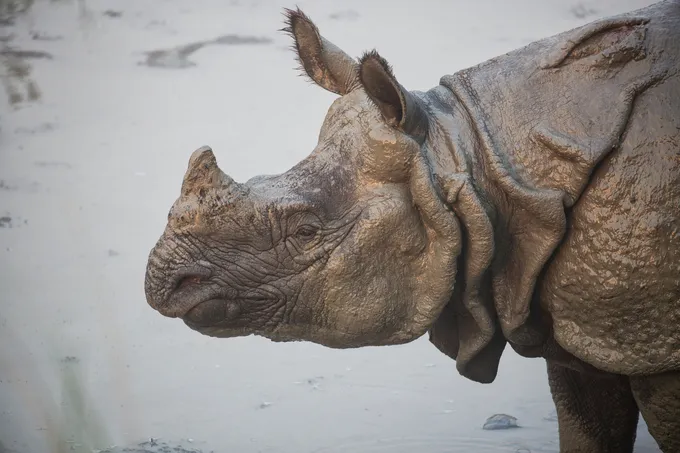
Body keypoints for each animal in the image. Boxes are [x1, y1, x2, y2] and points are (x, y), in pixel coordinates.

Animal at [144, 1, 680, 451]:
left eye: (306, 232)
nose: (164, 282)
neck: (477, 157)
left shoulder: (652, 347)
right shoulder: (588, 331)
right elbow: (588, 428)